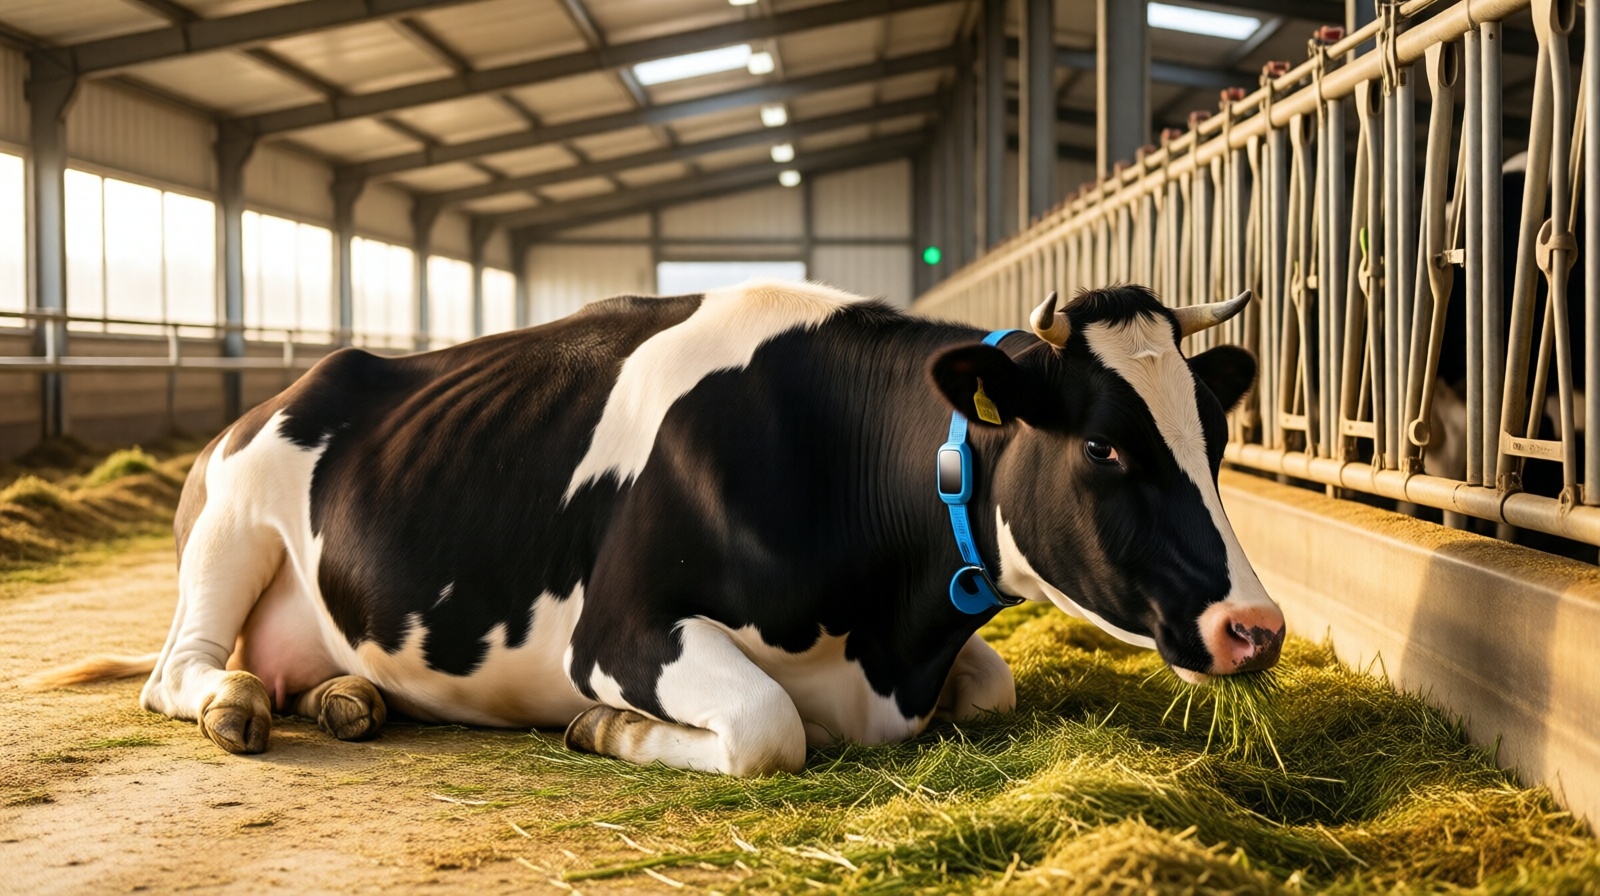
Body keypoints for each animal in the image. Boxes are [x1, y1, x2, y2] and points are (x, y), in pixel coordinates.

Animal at [38, 281, 1284, 776]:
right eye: (1102, 446)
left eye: (1215, 436)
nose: (1256, 625)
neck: (890, 636)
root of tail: (287, 387)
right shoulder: (624, 629)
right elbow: (769, 727)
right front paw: (603, 728)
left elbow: (996, 681)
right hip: (229, 524)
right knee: (179, 669)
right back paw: (238, 701)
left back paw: (352, 697)